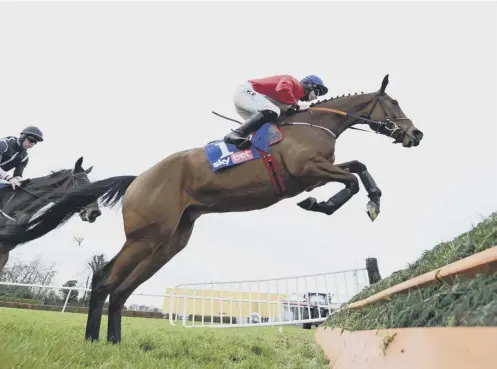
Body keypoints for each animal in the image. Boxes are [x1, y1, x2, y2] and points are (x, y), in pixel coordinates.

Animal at [0, 74, 422, 342]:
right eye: (394, 103)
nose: (415, 133)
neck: (315, 123)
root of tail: (139, 178)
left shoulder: (316, 172)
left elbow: (359, 169)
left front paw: (371, 201)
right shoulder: (307, 170)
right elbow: (348, 180)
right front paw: (323, 205)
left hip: (170, 241)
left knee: (122, 289)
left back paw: (114, 342)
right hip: (145, 236)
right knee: (105, 279)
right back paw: (92, 340)